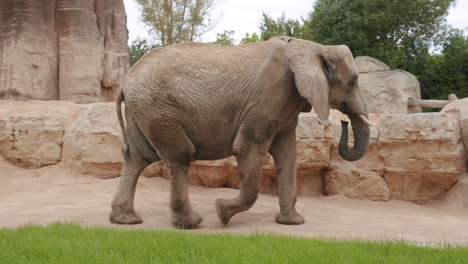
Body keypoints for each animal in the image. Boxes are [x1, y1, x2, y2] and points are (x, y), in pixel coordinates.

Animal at [109, 35, 370, 229]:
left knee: (137, 158)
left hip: (143, 111)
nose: (344, 123)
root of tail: (125, 82)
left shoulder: (286, 106)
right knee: (179, 156)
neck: (312, 46)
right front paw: (222, 213)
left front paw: (292, 223)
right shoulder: (268, 100)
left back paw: (125, 221)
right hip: (159, 110)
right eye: (353, 81)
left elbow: (287, 154)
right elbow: (248, 148)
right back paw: (191, 223)